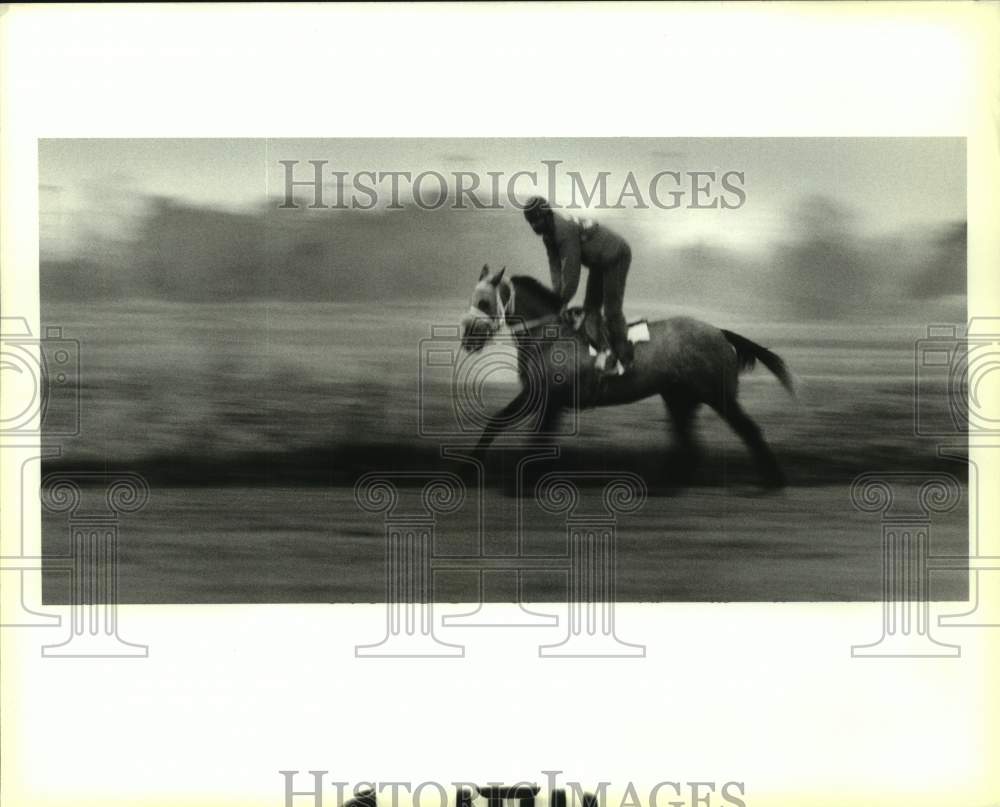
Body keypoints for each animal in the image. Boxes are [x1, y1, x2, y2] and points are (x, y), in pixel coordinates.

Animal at [458, 268, 796, 490]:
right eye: (471, 300)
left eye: (485, 302)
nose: (468, 338)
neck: (549, 337)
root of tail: (719, 332)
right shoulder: (537, 395)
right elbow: (498, 422)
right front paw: (469, 470)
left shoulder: (549, 399)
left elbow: (536, 440)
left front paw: (524, 481)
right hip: (679, 398)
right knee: (689, 443)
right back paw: (670, 481)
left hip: (717, 394)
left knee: (747, 430)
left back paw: (774, 480)